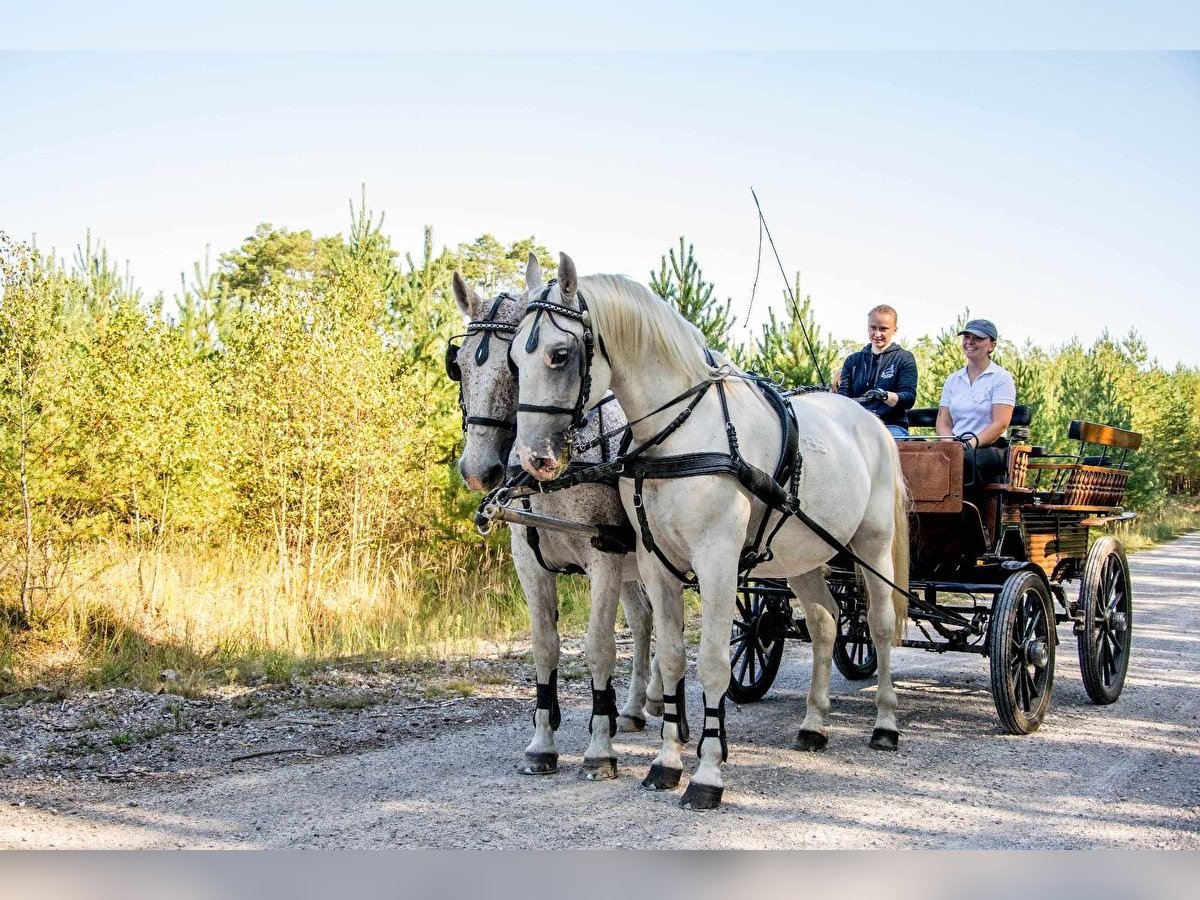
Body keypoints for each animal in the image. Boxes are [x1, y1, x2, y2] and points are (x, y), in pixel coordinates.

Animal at [451, 256, 662, 777]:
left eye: (510, 366)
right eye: (458, 366)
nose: (478, 471)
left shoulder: (604, 553)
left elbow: (599, 646)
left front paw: (600, 748)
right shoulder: (529, 560)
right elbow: (545, 645)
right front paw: (542, 743)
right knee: (644, 620)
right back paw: (635, 707)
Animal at [508, 252, 907, 811]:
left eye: (559, 354)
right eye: (513, 361)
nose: (533, 459)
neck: (681, 434)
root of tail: (867, 419)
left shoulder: (717, 560)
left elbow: (715, 662)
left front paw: (708, 773)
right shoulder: (656, 563)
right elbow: (674, 657)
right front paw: (666, 763)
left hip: (872, 545)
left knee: (880, 625)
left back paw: (886, 724)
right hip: (804, 554)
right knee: (826, 623)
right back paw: (813, 724)